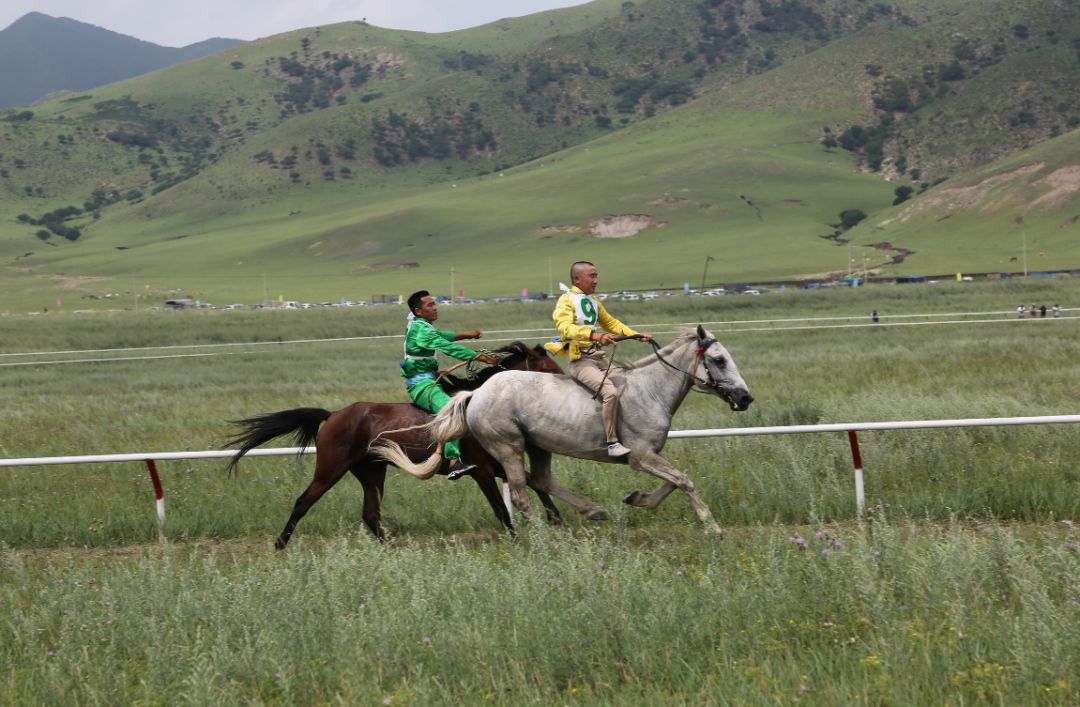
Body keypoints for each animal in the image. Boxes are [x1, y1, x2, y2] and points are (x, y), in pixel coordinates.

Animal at [227, 343, 565, 548]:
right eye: (548, 367)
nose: (568, 384)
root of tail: (333, 415)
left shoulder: (499, 465)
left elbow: (537, 487)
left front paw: (558, 522)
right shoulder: (480, 470)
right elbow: (501, 509)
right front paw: (518, 540)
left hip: (372, 471)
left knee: (370, 513)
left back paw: (390, 546)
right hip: (330, 468)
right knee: (303, 502)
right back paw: (280, 544)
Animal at [375, 325, 756, 531]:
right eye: (719, 360)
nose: (745, 397)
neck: (650, 391)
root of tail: (475, 393)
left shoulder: (649, 457)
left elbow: (675, 482)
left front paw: (637, 498)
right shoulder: (641, 457)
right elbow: (683, 480)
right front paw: (712, 527)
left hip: (537, 446)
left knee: (540, 480)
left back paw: (591, 511)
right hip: (509, 447)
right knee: (520, 494)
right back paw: (544, 536)